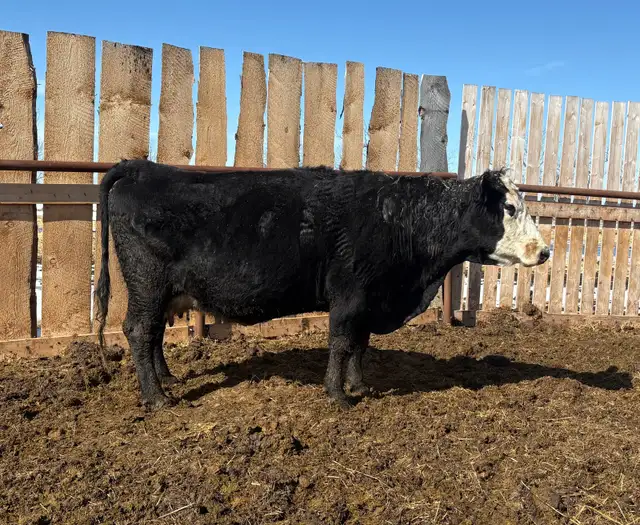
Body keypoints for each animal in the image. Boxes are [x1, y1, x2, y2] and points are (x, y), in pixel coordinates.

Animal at [95, 159, 549, 410]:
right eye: (510, 208)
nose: (544, 250)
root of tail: (142, 167)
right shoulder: (349, 296)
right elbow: (342, 343)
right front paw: (338, 394)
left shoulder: (369, 300)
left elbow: (360, 345)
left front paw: (361, 386)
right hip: (147, 283)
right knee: (139, 330)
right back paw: (157, 398)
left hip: (160, 291)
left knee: (153, 335)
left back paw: (168, 380)